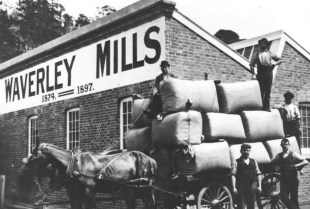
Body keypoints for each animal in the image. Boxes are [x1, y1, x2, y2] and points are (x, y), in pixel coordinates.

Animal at [16, 143, 157, 209]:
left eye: (33, 158)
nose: (21, 176)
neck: (74, 165)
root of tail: (151, 159)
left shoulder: (89, 191)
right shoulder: (74, 193)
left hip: (144, 190)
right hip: (128, 190)